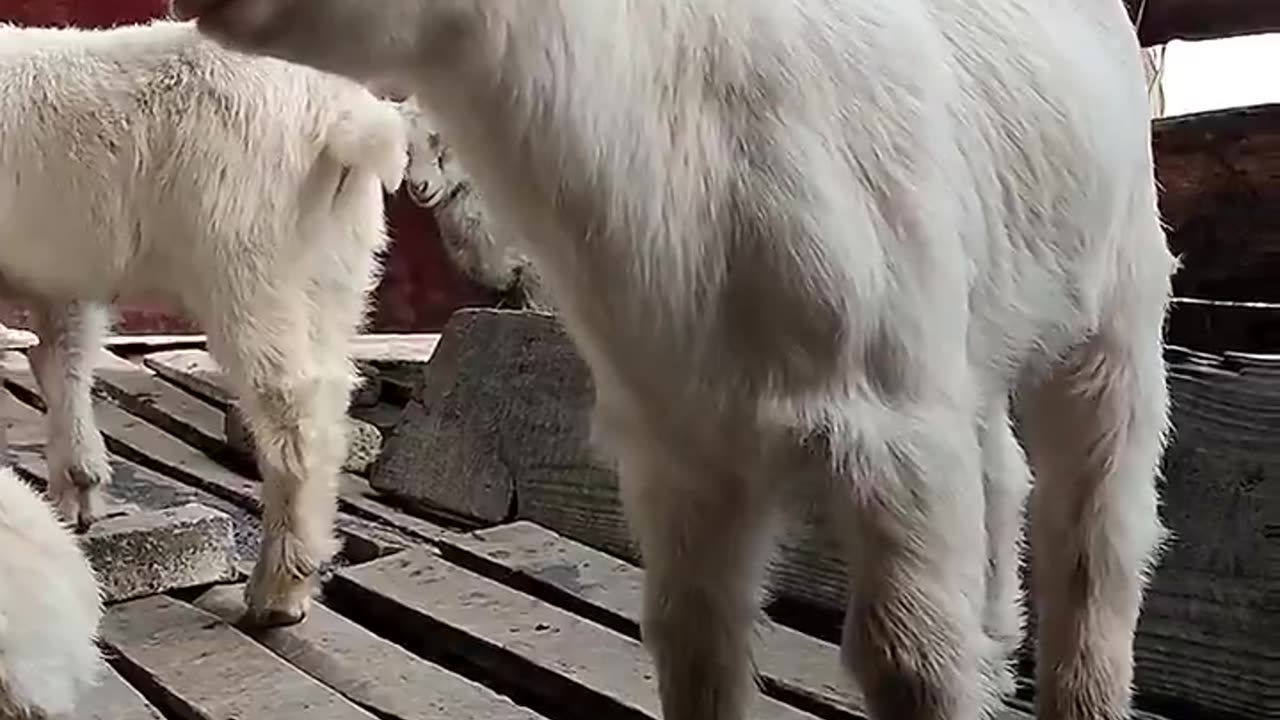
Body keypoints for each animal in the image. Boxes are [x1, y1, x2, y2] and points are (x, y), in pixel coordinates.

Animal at [0, 19, 407, 627]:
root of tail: (345, 112)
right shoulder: (66, 273)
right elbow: (63, 356)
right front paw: (78, 491)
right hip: (338, 264)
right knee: (334, 391)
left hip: (249, 254)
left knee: (293, 407)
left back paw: (279, 590)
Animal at [173, 1, 1177, 718]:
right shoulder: (683, 445)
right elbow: (694, 644)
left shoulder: (895, 422)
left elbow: (909, 659)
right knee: (1005, 470)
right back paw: (998, 640)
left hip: (1118, 299)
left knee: (1100, 527)